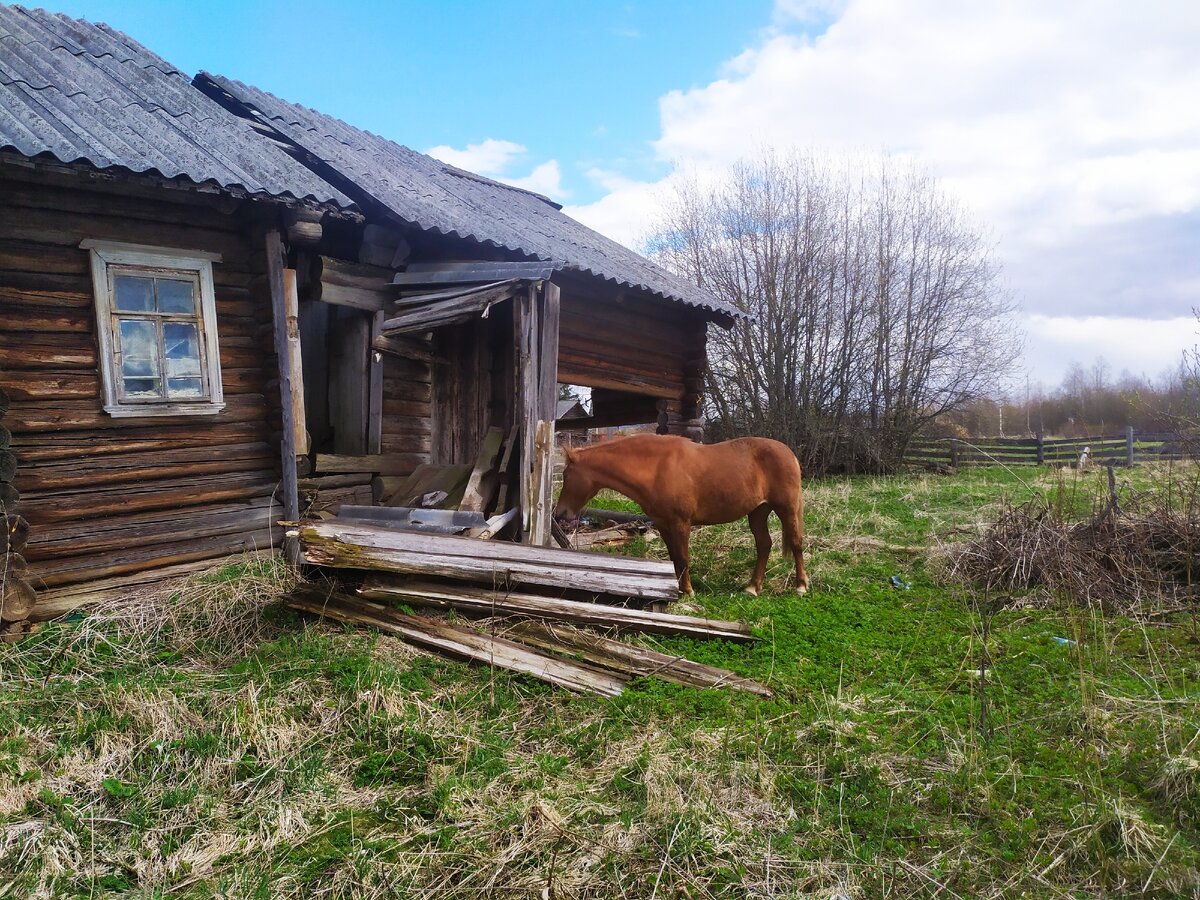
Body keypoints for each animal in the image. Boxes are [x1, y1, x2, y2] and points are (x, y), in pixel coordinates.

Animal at [552, 434, 806, 600]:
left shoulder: (680, 523)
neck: (656, 468)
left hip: (786, 509)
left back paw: (801, 586)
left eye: (566, 475)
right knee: (764, 545)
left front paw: (688, 592)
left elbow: (683, 557)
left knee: (796, 542)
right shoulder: (664, 524)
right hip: (758, 511)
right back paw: (752, 587)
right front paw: (678, 587)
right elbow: (675, 557)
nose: (559, 513)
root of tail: (790, 453)